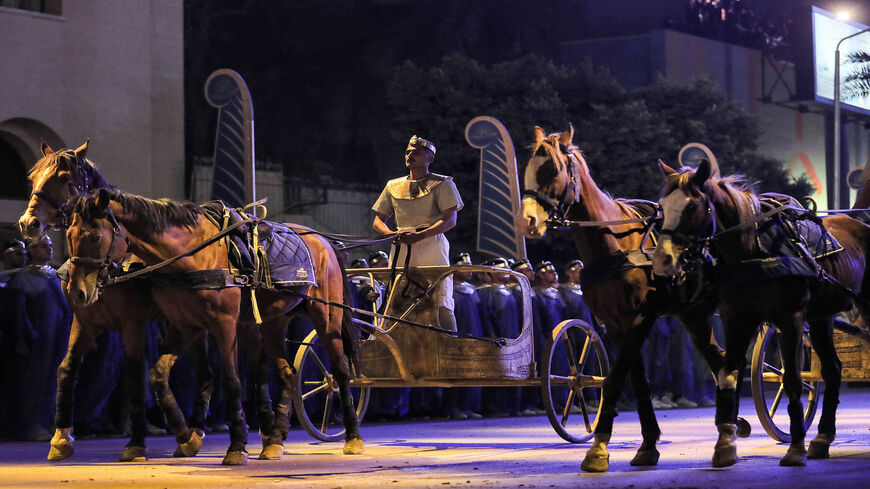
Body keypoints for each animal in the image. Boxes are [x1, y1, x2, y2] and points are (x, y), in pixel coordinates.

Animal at [64, 187, 362, 462]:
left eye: (94, 236)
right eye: (68, 235)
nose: (77, 291)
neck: (191, 254)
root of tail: (325, 241)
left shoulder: (224, 324)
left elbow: (231, 381)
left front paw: (236, 446)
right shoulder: (185, 325)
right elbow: (158, 375)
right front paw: (187, 436)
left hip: (327, 316)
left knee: (341, 370)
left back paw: (352, 437)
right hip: (274, 322)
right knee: (287, 373)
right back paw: (275, 438)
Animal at [524, 124, 728, 470]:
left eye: (552, 169)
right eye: (526, 168)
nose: (528, 221)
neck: (614, 246)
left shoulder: (641, 317)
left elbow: (616, 377)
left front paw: (598, 448)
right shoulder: (616, 325)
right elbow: (636, 379)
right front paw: (647, 444)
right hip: (693, 316)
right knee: (719, 359)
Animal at [656, 159, 870, 466]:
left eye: (692, 207)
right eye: (661, 206)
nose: (662, 260)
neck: (754, 251)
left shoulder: (790, 319)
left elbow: (792, 379)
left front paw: (795, 447)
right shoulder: (736, 319)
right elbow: (728, 373)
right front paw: (725, 443)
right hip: (821, 317)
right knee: (832, 370)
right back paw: (822, 438)